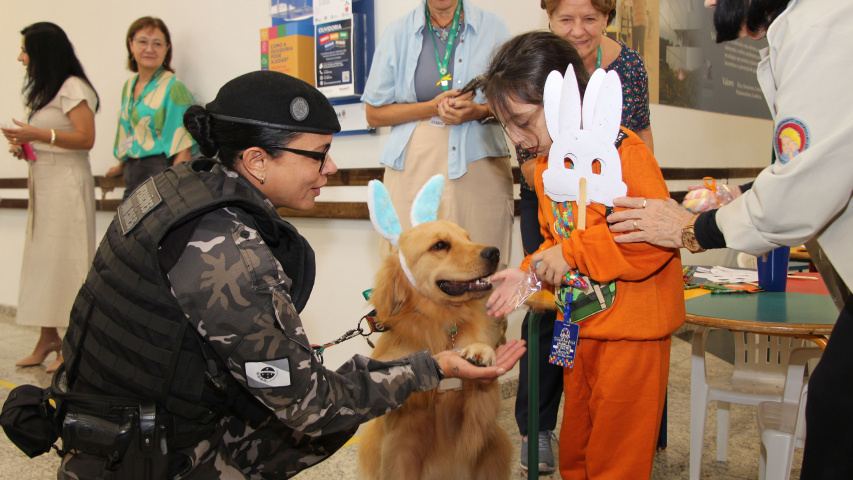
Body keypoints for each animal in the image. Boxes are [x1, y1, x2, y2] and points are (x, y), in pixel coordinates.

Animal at [358, 219, 512, 480]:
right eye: (440, 245)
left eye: (468, 238)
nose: (494, 252)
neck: (442, 322)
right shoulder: (401, 442)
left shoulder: (478, 422)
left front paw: (480, 350)